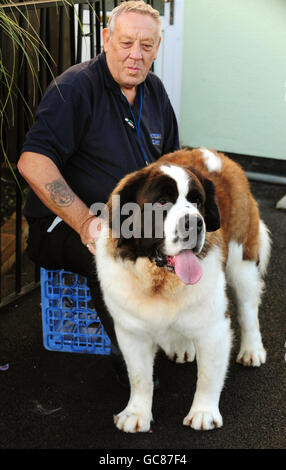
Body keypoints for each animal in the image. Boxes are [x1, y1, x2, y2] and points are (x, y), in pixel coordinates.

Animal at [95, 149, 272, 432]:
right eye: (162, 202)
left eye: (197, 202)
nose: (195, 223)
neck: (159, 281)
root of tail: (216, 154)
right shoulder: (131, 332)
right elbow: (140, 376)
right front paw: (136, 413)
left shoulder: (214, 328)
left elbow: (208, 376)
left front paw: (203, 413)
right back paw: (182, 347)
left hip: (241, 259)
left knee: (248, 309)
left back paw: (252, 350)